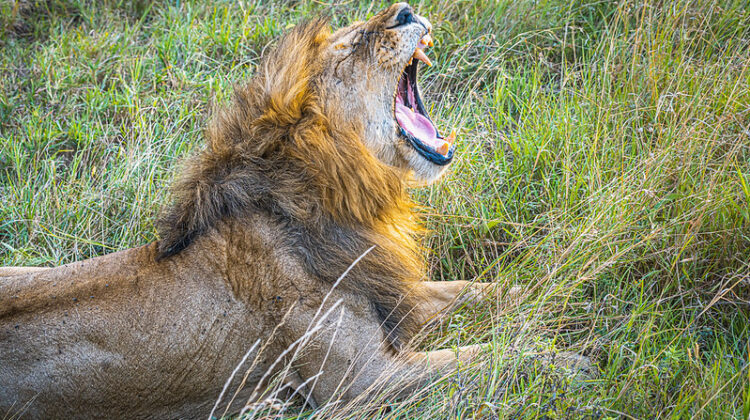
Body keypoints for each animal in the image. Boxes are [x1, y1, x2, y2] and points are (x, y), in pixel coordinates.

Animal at [0, 3, 592, 416]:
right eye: (351, 48)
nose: (405, 10)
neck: (346, 200)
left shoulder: (393, 295)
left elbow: (488, 291)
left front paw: (570, 299)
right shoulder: (362, 384)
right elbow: (484, 358)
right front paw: (569, 360)